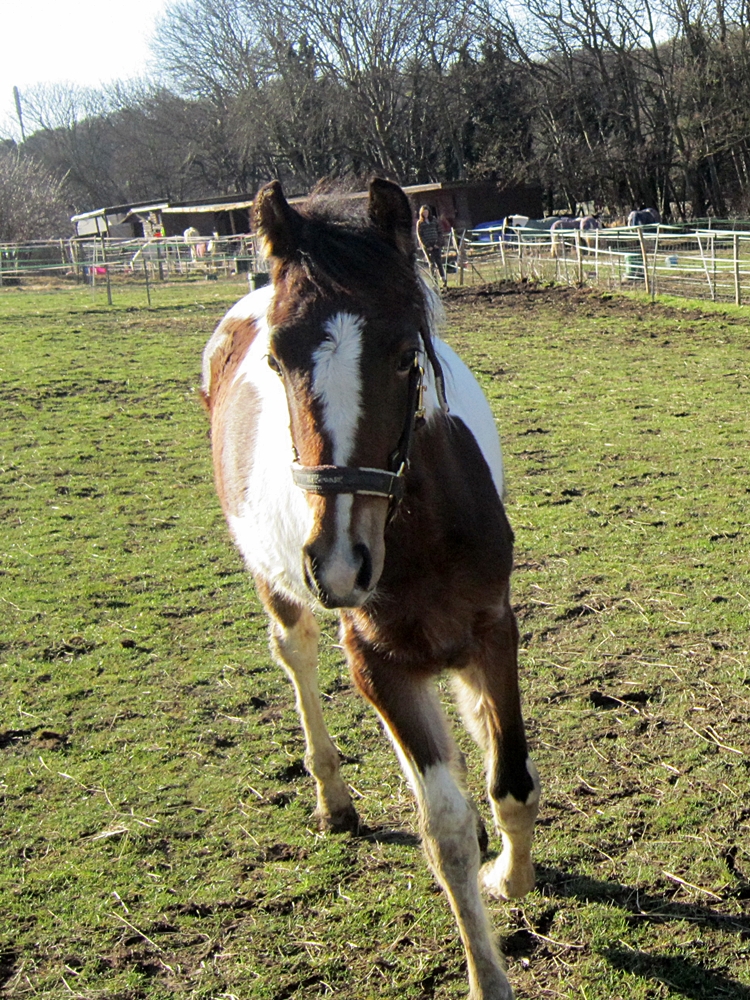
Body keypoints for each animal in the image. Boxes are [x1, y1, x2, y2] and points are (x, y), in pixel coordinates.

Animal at [201, 178, 540, 1000]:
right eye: (277, 358)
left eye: (404, 354)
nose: (338, 562)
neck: (417, 539)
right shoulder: (376, 664)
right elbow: (444, 830)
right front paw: (488, 971)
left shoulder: (494, 629)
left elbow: (510, 778)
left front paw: (510, 873)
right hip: (283, 596)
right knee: (296, 659)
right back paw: (335, 801)